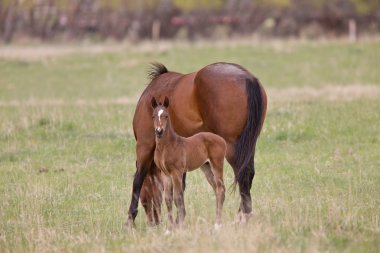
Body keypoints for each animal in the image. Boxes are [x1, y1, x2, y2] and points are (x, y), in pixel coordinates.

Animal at [151, 97, 226, 227]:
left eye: (166, 116)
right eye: (153, 116)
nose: (159, 131)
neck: (166, 147)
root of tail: (222, 140)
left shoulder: (176, 173)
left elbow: (178, 198)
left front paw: (180, 225)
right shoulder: (165, 174)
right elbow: (168, 199)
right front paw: (169, 228)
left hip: (217, 164)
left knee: (221, 189)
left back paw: (217, 224)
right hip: (206, 167)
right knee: (216, 188)